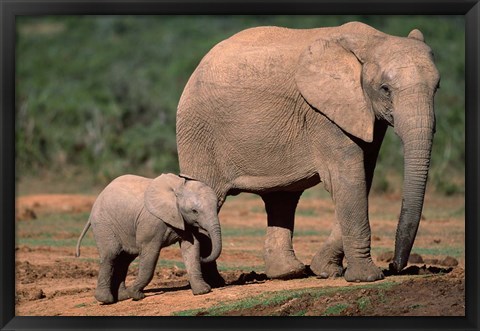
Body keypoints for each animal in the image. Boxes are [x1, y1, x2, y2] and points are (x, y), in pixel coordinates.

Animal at [76, 175, 222, 304]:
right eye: (194, 211)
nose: (204, 255)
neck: (177, 187)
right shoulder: (152, 222)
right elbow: (150, 254)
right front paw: (136, 295)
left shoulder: (183, 220)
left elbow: (191, 248)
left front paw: (203, 291)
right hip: (103, 224)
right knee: (111, 255)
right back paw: (106, 300)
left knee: (124, 259)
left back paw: (123, 297)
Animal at [175, 22, 438, 282]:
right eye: (385, 89)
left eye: (437, 88)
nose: (395, 266)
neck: (373, 40)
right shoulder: (322, 113)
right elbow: (347, 179)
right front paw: (368, 277)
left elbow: (362, 176)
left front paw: (326, 271)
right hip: (198, 132)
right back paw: (214, 283)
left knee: (281, 198)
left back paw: (288, 272)